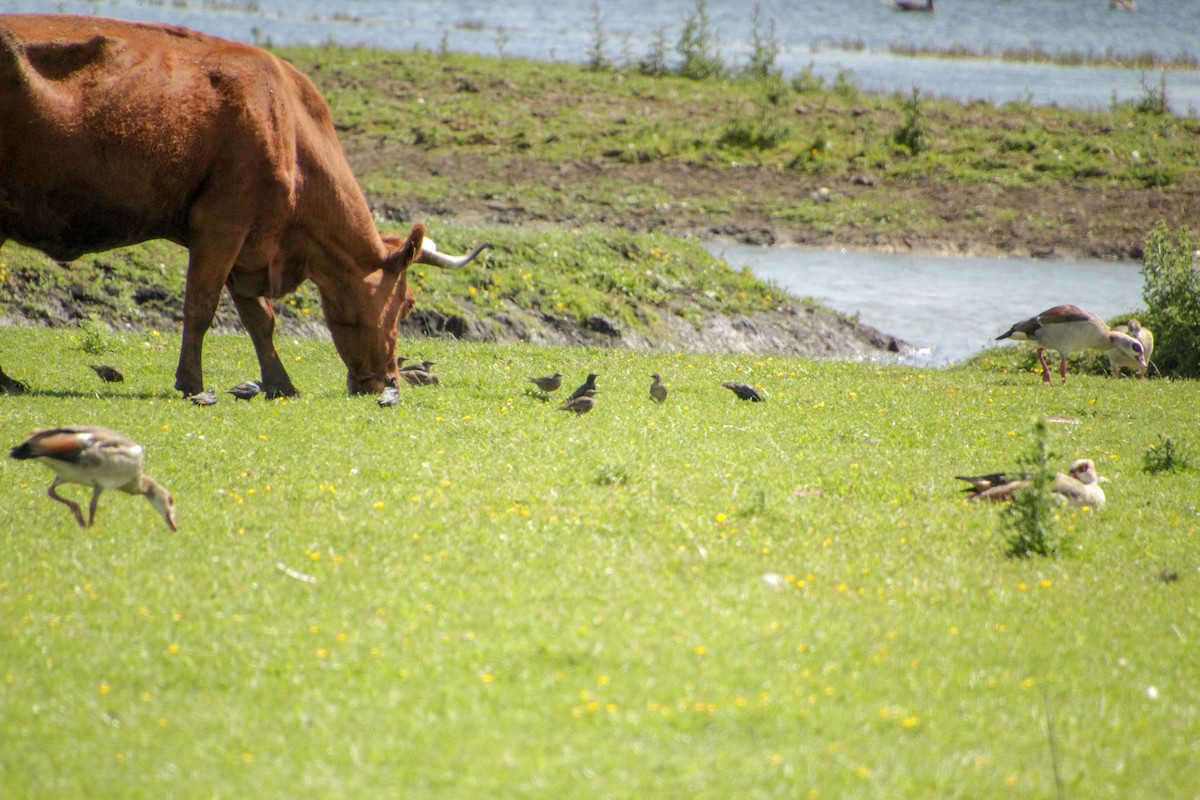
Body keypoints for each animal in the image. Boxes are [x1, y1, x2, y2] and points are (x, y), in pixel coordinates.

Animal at [1, 14, 487, 395]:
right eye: (408, 305)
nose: (388, 382)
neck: (289, 127)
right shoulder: (223, 222)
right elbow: (201, 305)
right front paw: (191, 383)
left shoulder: (252, 240)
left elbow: (259, 318)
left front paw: (281, 384)